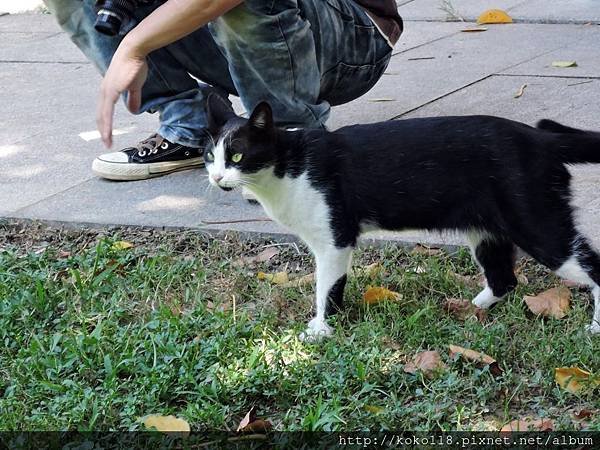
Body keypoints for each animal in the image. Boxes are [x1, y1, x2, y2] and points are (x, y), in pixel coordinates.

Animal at [203, 95, 600, 342]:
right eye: (209, 155)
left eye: (237, 156)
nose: (217, 177)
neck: (287, 168)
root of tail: (540, 138)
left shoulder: (334, 240)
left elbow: (326, 288)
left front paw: (320, 330)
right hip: (486, 230)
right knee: (504, 278)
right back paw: (468, 309)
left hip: (537, 224)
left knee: (592, 267)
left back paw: (595, 328)